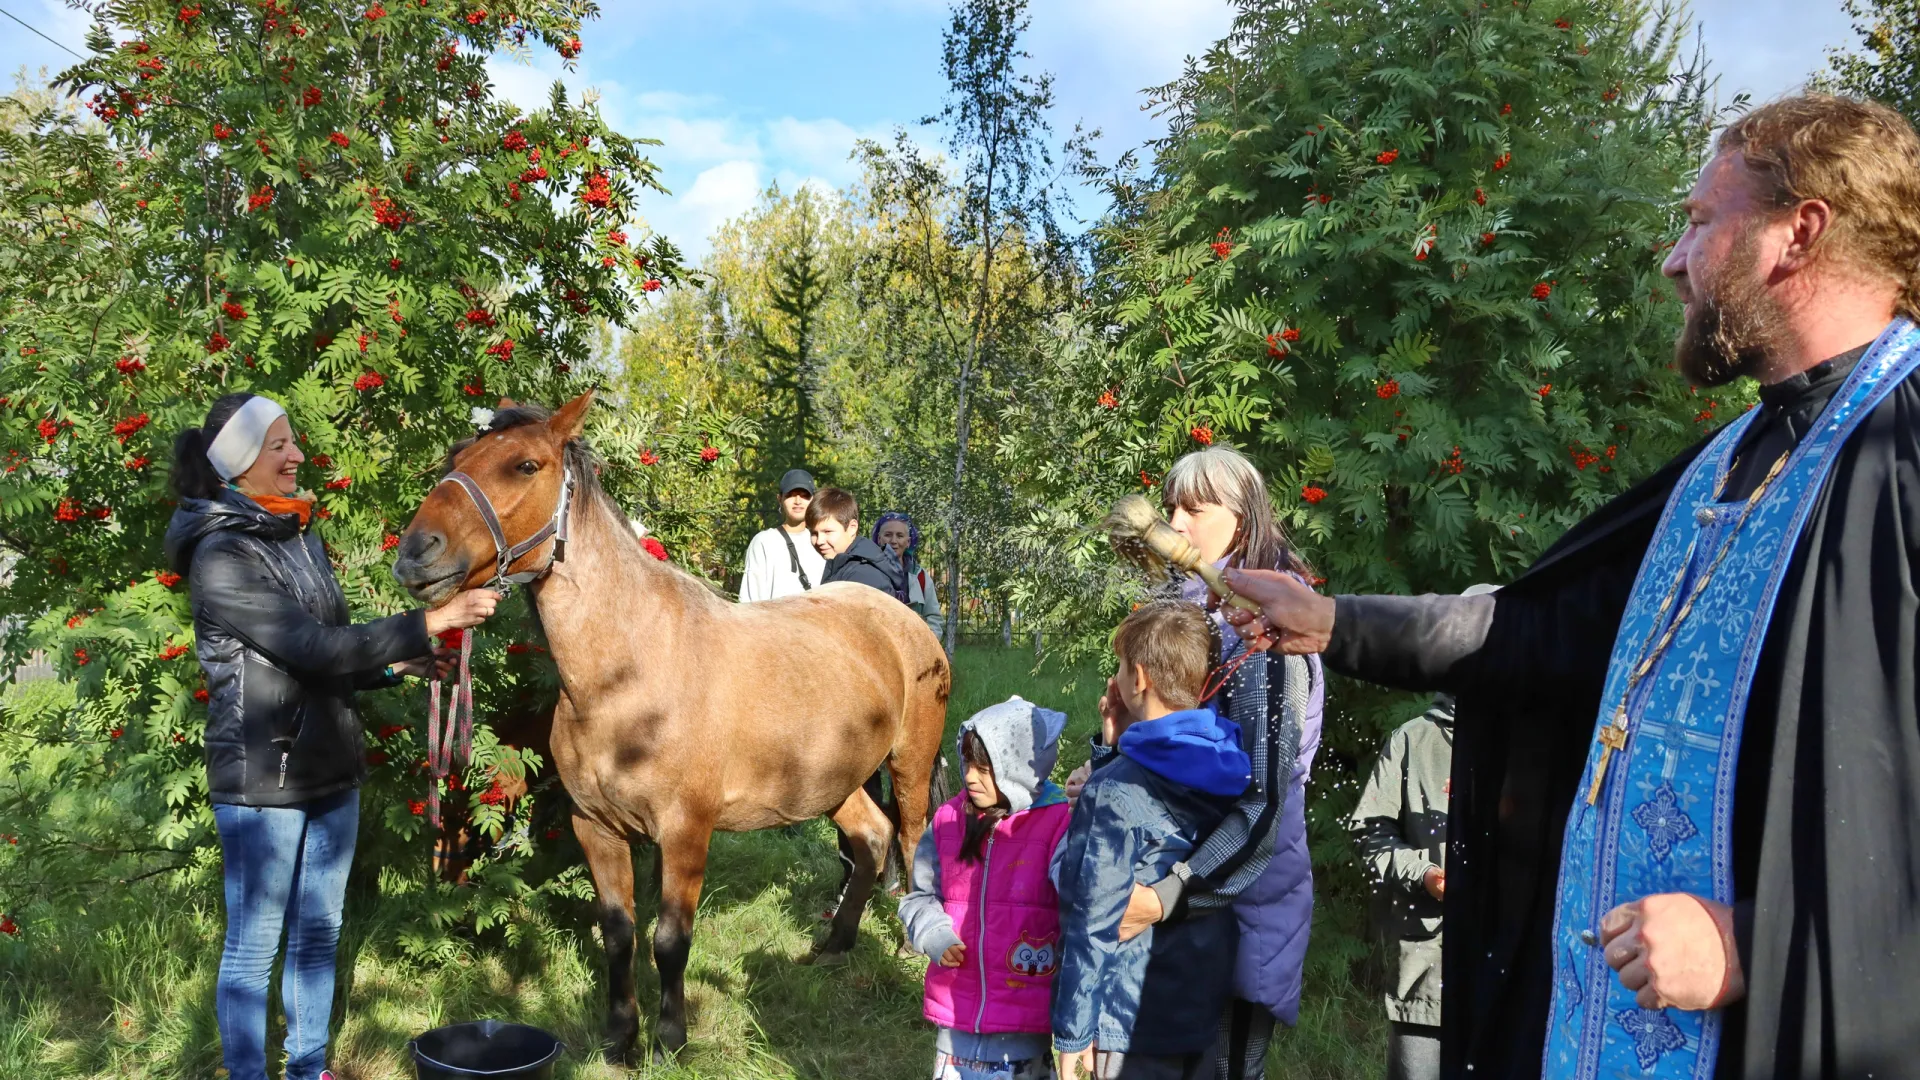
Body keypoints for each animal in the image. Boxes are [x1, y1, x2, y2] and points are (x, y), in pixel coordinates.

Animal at [391, 390, 952, 1053]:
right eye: (456, 457)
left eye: (526, 465)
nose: (414, 554)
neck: (628, 674)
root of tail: (901, 618)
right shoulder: (596, 829)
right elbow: (618, 933)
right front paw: (619, 1037)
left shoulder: (685, 833)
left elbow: (669, 941)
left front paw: (671, 1036)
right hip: (834, 781)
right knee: (870, 838)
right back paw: (834, 946)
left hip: (909, 762)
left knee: (911, 837)